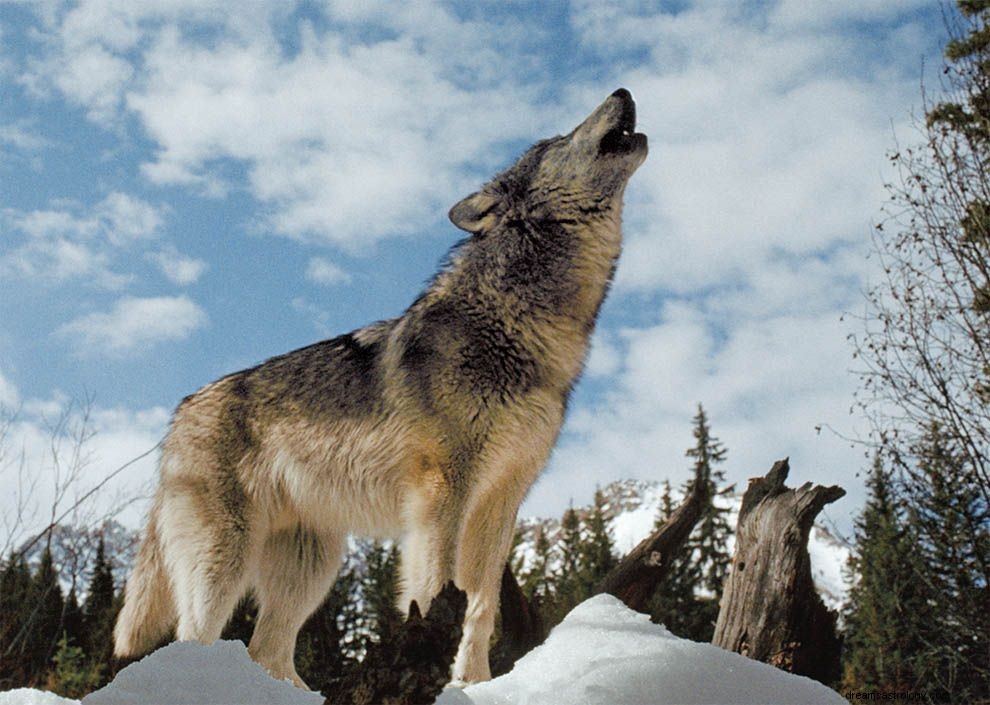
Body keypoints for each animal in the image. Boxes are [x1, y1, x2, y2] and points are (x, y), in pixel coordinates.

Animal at [114, 88, 652, 688]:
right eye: (556, 139)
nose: (623, 92)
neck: (517, 326)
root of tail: (179, 415)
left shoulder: (501, 501)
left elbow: (481, 606)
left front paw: (475, 683)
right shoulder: (442, 493)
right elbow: (435, 590)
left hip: (311, 568)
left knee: (267, 650)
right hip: (222, 563)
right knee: (194, 639)